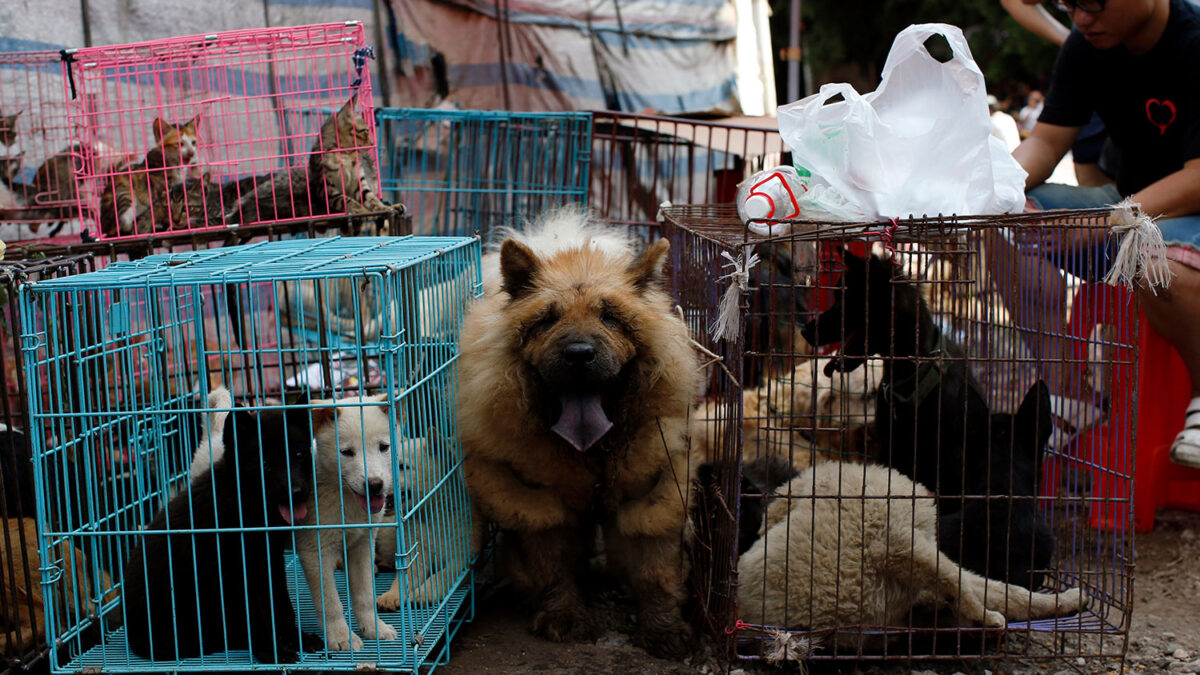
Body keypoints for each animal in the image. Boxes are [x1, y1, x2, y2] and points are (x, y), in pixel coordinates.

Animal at [120, 401, 324, 658]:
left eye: (298, 455)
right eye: (265, 464)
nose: (296, 493)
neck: (242, 503)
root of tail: (134, 638)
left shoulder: (270, 561)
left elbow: (282, 606)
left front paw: (296, 638)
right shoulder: (237, 575)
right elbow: (258, 616)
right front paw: (272, 651)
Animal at [297, 391, 400, 648]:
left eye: (384, 447)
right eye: (346, 452)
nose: (375, 485)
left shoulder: (362, 544)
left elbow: (365, 594)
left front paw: (374, 628)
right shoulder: (315, 551)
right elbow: (330, 602)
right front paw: (342, 637)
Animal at [458, 210, 700, 658]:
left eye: (610, 317)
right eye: (548, 320)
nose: (579, 354)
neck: (590, 452)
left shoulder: (650, 492)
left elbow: (656, 569)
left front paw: (664, 629)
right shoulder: (538, 500)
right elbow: (552, 566)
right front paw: (565, 616)